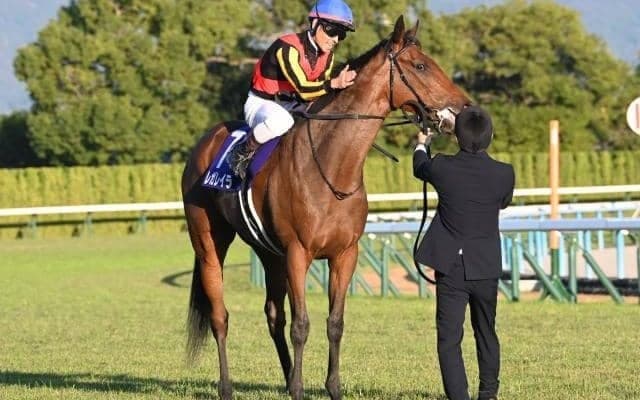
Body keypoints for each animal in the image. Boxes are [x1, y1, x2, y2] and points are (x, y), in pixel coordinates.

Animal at [181, 15, 470, 400]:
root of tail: (204, 142)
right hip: (210, 242)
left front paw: (330, 387)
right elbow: (302, 325)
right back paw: (228, 386)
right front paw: (299, 389)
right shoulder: (297, 253)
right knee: (220, 316)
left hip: (269, 253)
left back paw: (287, 376)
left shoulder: (345, 254)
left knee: (273, 315)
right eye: (420, 65)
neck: (332, 166)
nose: (464, 109)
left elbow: (335, 322)